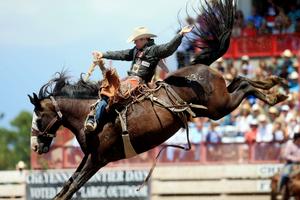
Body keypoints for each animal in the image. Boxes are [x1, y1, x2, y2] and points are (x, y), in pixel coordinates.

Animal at [28, 0, 288, 199]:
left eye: (39, 117)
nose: (35, 146)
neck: (87, 115)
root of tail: (200, 66)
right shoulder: (89, 157)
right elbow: (67, 186)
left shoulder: (98, 159)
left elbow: (71, 187)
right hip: (217, 104)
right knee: (242, 80)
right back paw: (274, 85)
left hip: (219, 108)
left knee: (244, 85)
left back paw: (275, 92)